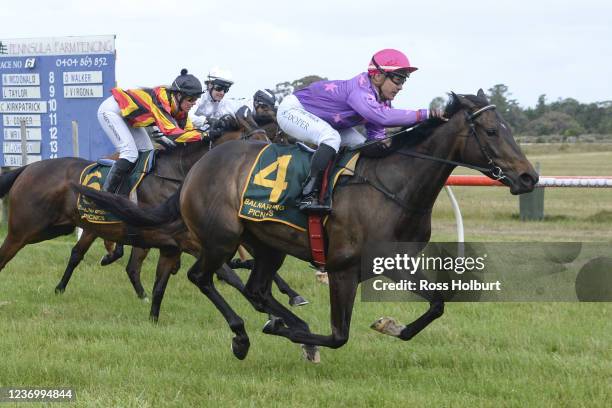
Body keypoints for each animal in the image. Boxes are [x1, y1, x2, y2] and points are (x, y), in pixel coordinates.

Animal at [75, 90, 536, 360]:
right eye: (491, 130)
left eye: (508, 127)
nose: (529, 177)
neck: (393, 185)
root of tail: (197, 170)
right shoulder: (343, 269)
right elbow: (338, 335)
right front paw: (298, 337)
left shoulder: (392, 261)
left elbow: (437, 304)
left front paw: (389, 324)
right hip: (221, 238)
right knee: (203, 277)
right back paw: (245, 336)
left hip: (267, 243)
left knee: (257, 290)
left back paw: (284, 320)